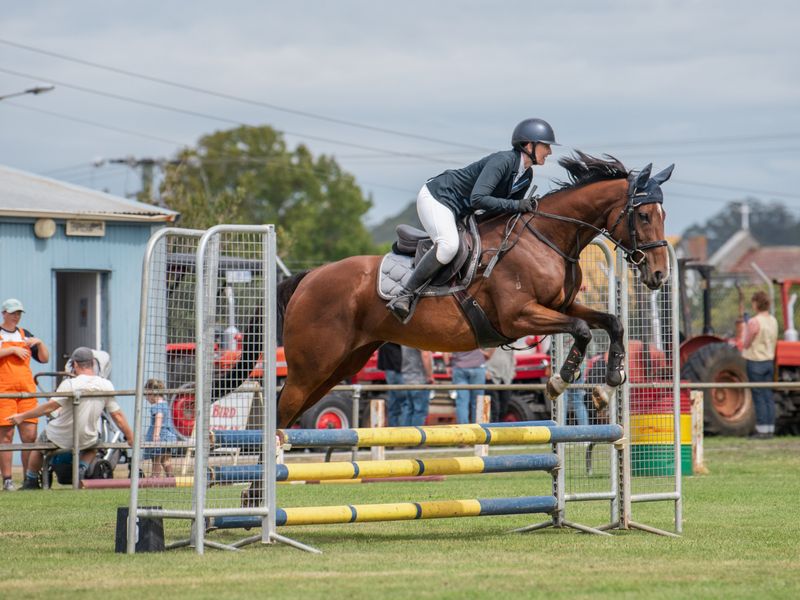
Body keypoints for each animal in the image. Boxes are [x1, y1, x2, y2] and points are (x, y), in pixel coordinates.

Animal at [275, 152, 674, 429]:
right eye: (643, 215)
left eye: (663, 215)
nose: (659, 274)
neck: (547, 238)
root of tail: (308, 278)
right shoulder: (519, 317)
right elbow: (581, 331)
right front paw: (560, 381)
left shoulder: (560, 306)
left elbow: (611, 323)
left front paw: (607, 385)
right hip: (311, 367)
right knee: (280, 414)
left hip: (342, 365)